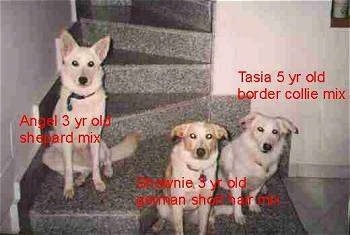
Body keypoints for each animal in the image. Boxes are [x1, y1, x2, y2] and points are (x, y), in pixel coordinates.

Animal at [41, 29, 139, 198]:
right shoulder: (66, 140)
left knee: (105, 160)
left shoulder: (95, 136)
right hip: (50, 155)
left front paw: (98, 182)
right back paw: (80, 179)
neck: (83, 98)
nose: (83, 79)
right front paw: (69, 188)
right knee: (78, 169)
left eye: (91, 64)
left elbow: (95, 167)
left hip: (102, 146)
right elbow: (69, 169)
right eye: (75, 63)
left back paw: (107, 171)